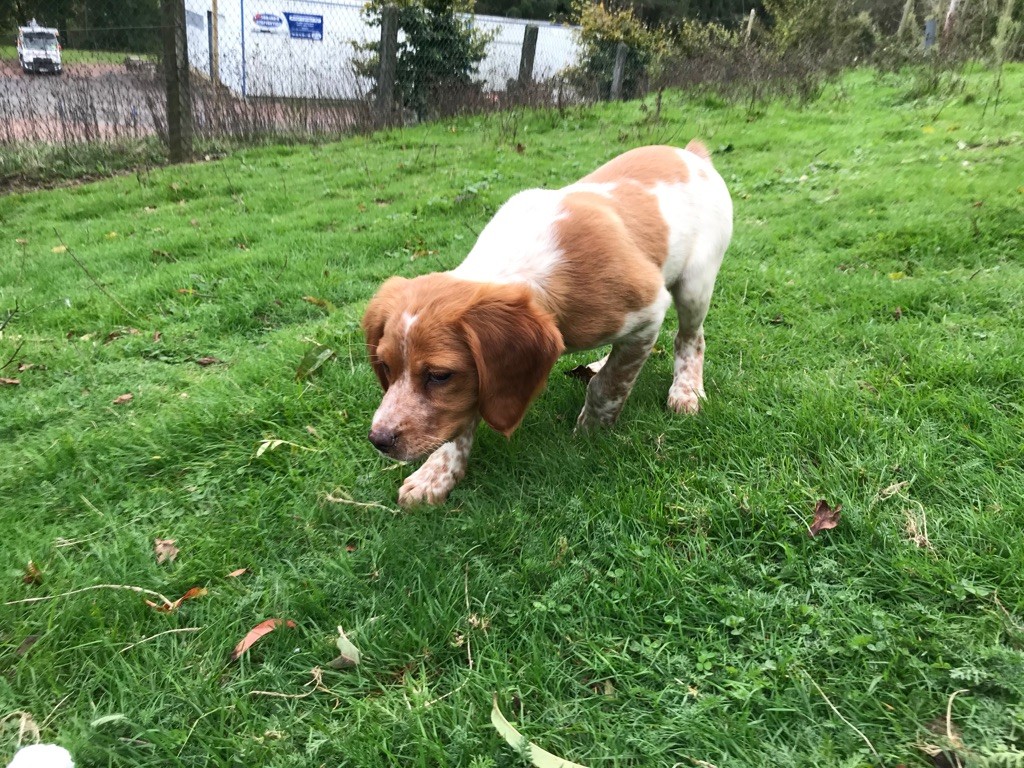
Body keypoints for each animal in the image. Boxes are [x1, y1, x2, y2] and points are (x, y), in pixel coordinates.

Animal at [364, 144, 733, 507]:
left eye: (439, 375)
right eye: (386, 366)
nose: (378, 439)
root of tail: (692, 153)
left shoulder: (649, 310)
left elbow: (609, 384)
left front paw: (591, 431)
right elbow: (463, 416)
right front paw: (437, 473)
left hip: (695, 285)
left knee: (689, 338)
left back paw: (685, 391)